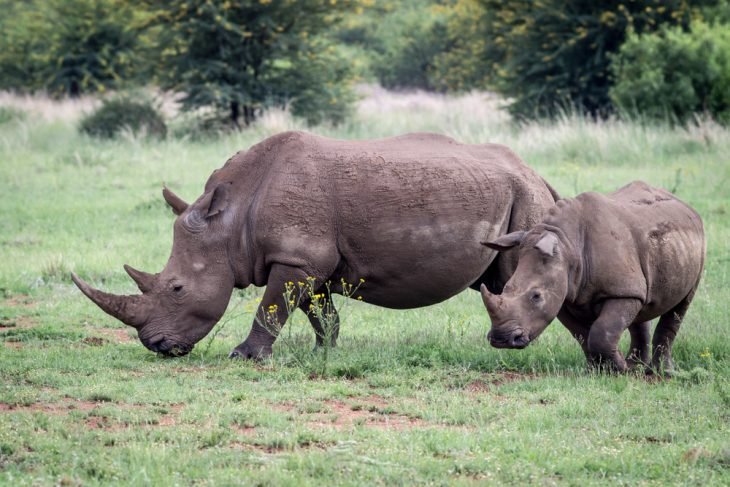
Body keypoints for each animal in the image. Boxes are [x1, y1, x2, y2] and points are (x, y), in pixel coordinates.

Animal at [71, 132, 556, 360]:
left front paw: (244, 356)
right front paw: (325, 352)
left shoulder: (295, 256)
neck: (231, 219)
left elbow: (270, 308)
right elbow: (317, 310)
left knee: (515, 271)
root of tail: (534, 171)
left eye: (177, 289)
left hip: (524, 198)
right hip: (513, 193)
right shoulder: (306, 259)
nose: (156, 345)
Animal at [480, 181, 704, 376]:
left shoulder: (618, 292)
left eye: (536, 296)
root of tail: (688, 207)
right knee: (641, 300)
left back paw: (661, 372)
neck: (568, 245)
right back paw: (637, 367)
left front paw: (619, 370)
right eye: (505, 288)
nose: (502, 339)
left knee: (681, 304)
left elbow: (602, 332)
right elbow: (582, 335)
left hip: (696, 245)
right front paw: (597, 371)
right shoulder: (564, 296)